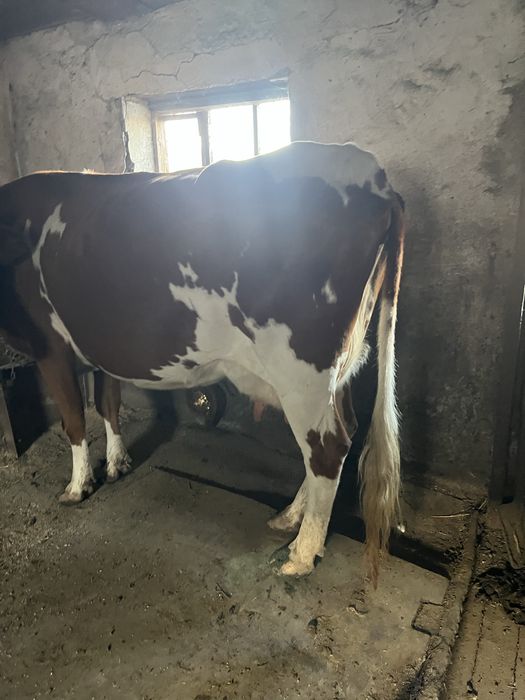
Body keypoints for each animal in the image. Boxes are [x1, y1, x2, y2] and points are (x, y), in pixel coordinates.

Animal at [0, 142, 404, 584]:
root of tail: (374, 174)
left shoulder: (49, 346)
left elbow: (73, 420)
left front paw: (77, 487)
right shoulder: (103, 346)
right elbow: (108, 405)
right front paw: (118, 463)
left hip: (302, 370)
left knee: (327, 448)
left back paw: (302, 553)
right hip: (341, 366)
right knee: (341, 432)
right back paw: (289, 517)